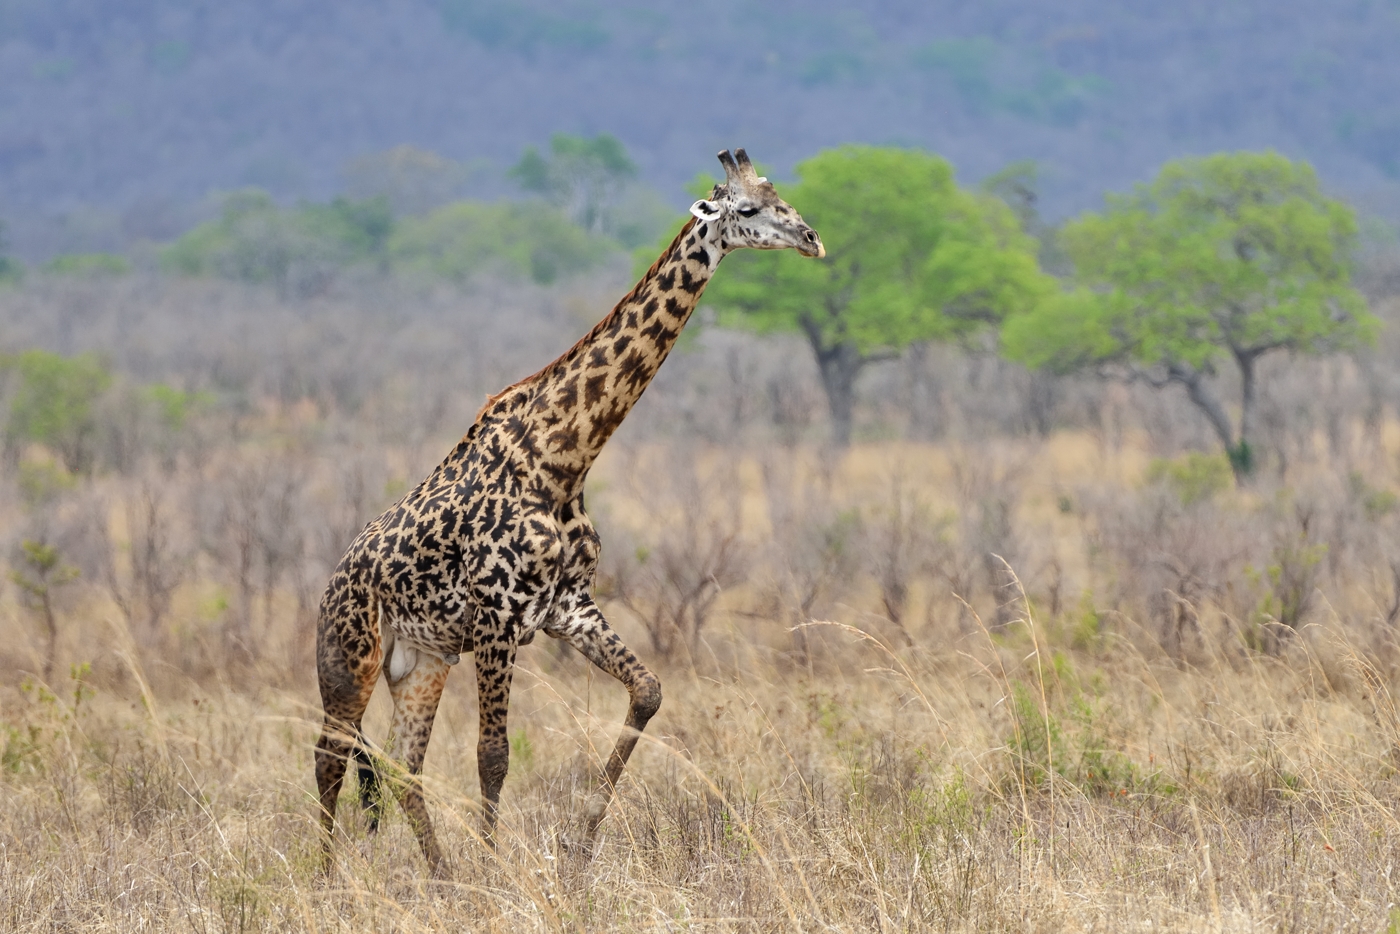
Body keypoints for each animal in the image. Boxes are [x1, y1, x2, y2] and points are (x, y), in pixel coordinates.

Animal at [314, 148, 824, 876]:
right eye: (749, 207)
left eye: (782, 197)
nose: (812, 238)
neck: (562, 457)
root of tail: (329, 587)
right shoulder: (496, 618)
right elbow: (493, 757)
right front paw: (496, 873)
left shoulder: (566, 607)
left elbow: (649, 691)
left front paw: (578, 846)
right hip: (348, 657)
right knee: (330, 757)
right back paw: (328, 880)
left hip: (421, 660)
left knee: (399, 766)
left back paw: (440, 879)